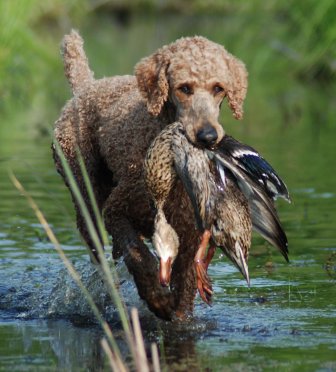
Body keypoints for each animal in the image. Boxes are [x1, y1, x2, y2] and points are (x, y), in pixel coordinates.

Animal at [52, 30, 247, 320]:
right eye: (184, 88)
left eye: (218, 88)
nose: (208, 136)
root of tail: (87, 87)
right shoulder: (116, 212)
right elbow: (139, 257)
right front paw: (157, 299)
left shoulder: (189, 236)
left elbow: (184, 288)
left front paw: (176, 313)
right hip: (86, 194)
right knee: (96, 246)